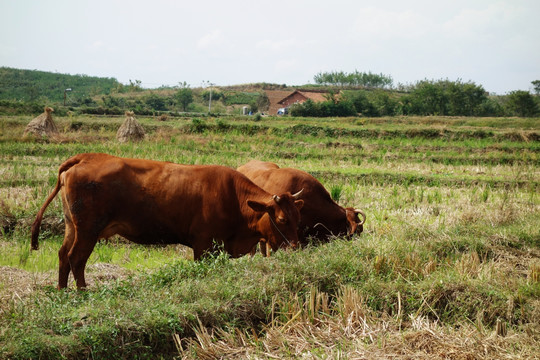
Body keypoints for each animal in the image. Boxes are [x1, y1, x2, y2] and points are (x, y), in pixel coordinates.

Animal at [31, 153, 304, 288]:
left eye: (298, 217)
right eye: (282, 219)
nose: (295, 249)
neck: (233, 197)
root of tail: (86, 157)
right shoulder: (204, 245)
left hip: (72, 227)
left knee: (62, 255)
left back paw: (62, 292)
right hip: (88, 230)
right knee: (76, 259)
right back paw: (82, 293)